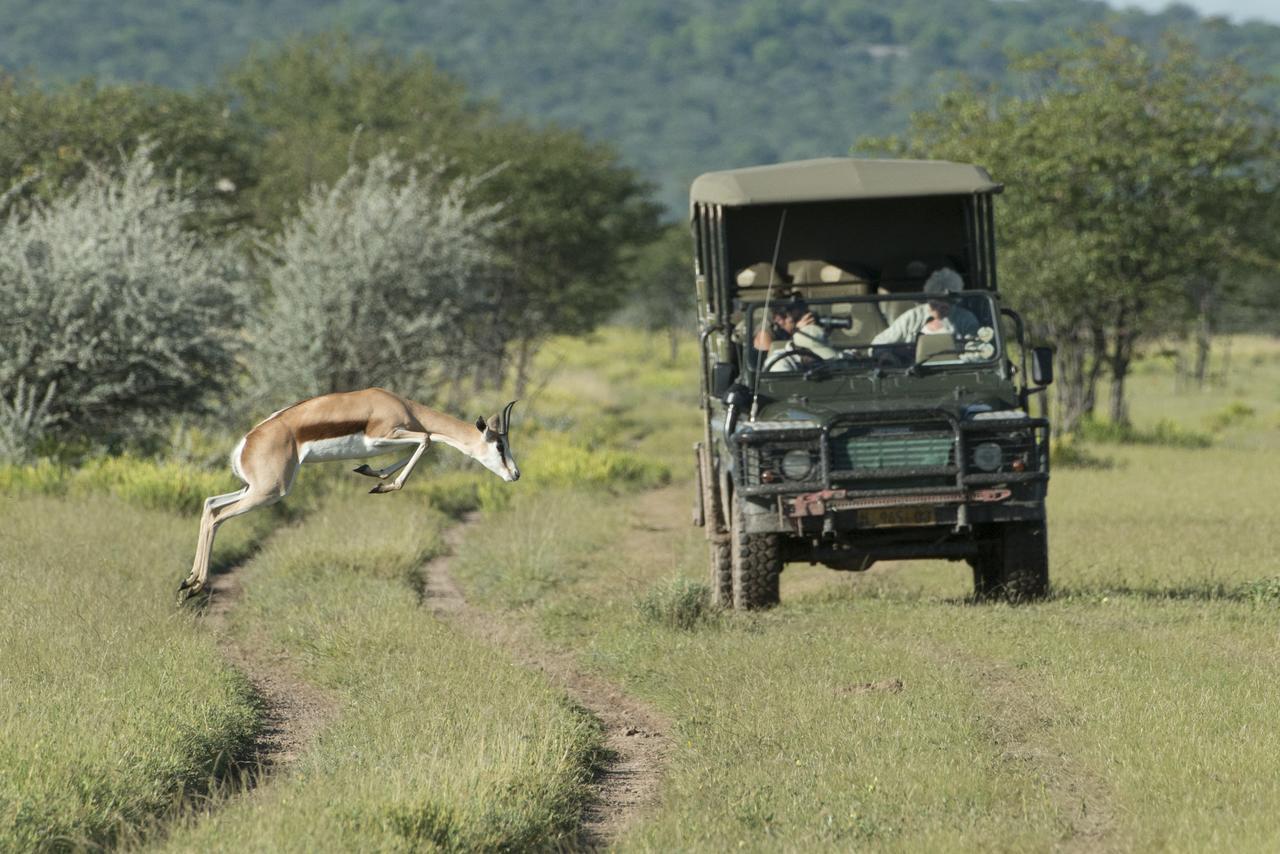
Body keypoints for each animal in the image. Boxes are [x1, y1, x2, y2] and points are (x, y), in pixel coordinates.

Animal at [181, 386, 519, 601]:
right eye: (499, 445)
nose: (515, 474)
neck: (400, 405)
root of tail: (247, 441)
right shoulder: (384, 436)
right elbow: (426, 439)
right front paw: (384, 484)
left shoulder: (389, 441)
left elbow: (425, 441)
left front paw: (373, 475)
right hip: (269, 491)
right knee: (218, 515)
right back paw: (195, 585)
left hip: (253, 488)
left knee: (210, 505)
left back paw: (189, 583)